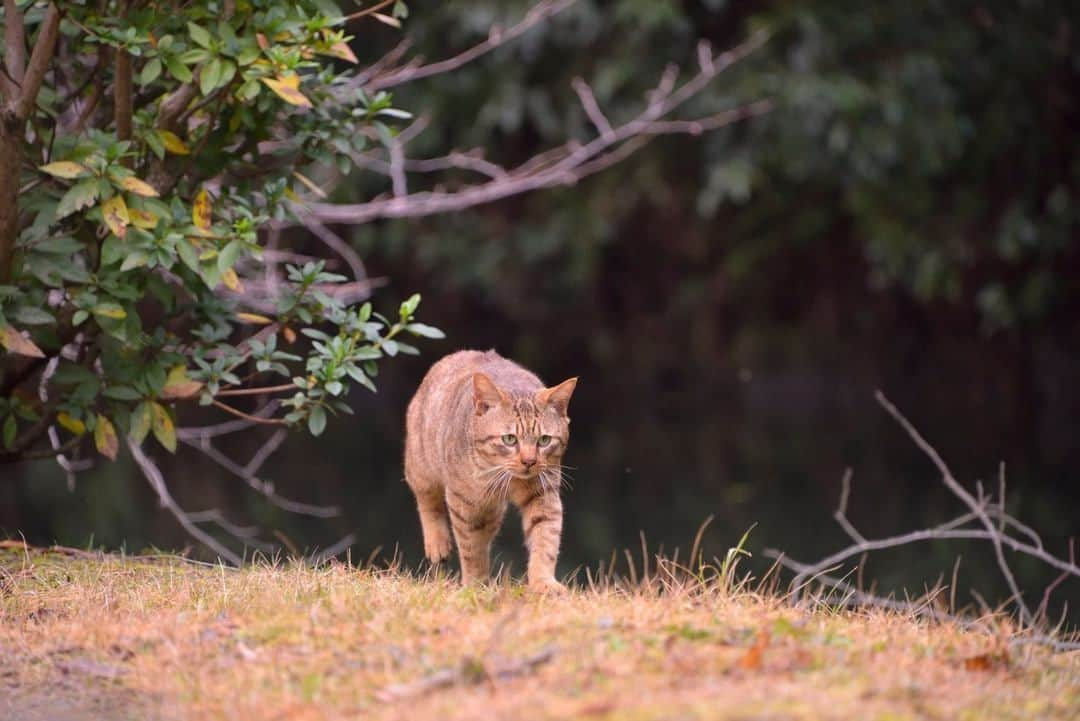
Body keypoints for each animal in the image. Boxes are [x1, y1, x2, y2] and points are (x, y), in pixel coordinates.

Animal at [406, 349, 578, 591]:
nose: (529, 461)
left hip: (493, 512)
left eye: (544, 440)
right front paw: (474, 585)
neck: (509, 479)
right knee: (427, 500)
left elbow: (545, 541)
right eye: (509, 439)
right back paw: (437, 542)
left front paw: (543, 582)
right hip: (421, 464)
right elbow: (471, 551)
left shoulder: (544, 495)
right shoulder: (463, 503)